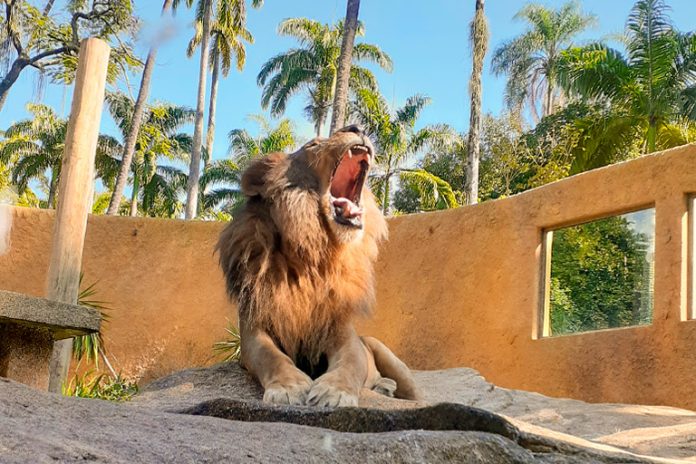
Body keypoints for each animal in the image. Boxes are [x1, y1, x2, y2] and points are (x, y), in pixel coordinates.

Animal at [218, 125, 422, 408]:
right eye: (312, 145)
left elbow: (350, 365)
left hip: (386, 354)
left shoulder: (343, 333)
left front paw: (334, 392)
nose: (357, 127)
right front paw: (288, 387)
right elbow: (271, 357)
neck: (313, 253)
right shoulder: (253, 329)